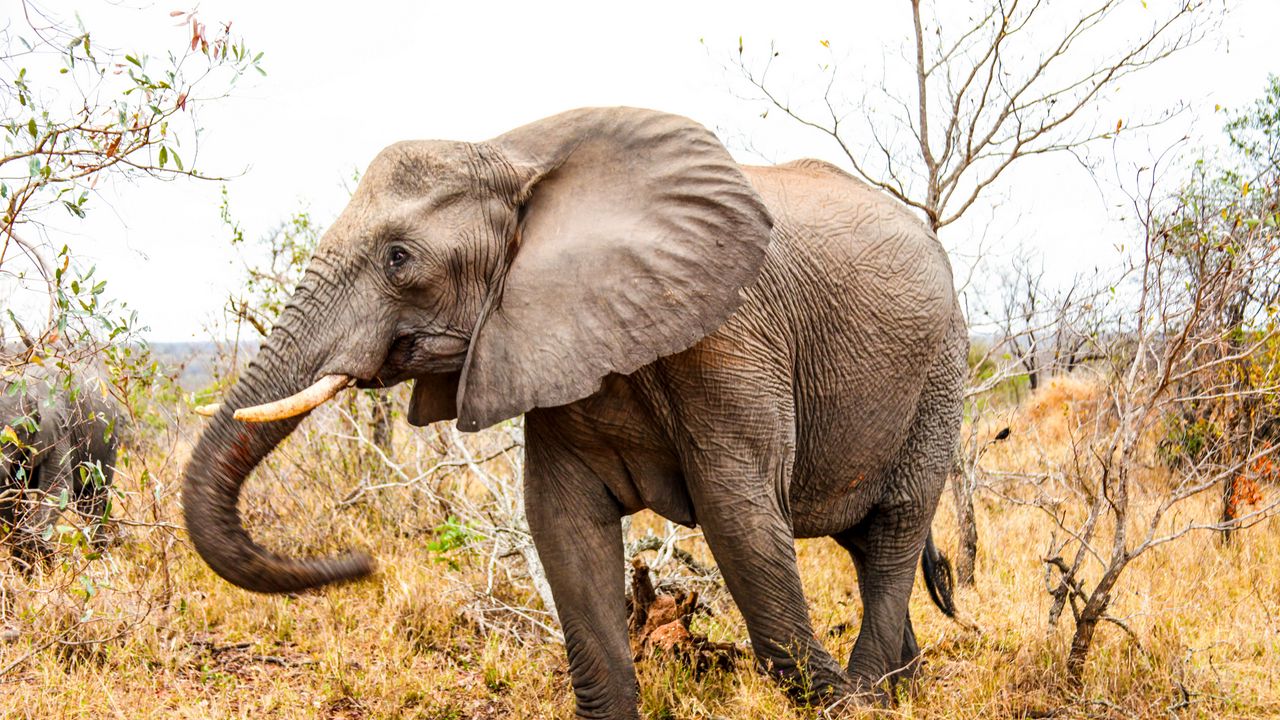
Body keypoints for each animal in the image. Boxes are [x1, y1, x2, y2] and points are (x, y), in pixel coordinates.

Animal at [0, 366, 120, 568]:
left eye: (17, 433)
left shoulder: (58, 428)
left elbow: (57, 487)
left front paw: (41, 556)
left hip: (108, 443)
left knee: (92, 501)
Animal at [180, 105, 962, 712]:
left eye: (399, 259)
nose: (360, 563)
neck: (513, 153)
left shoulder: (733, 336)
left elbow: (740, 519)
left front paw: (840, 704)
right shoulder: (547, 339)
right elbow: (563, 524)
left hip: (940, 373)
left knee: (893, 532)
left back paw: (873, 696)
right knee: (865, 544)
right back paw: (903, 690)